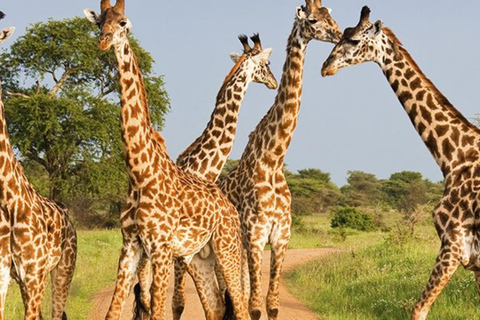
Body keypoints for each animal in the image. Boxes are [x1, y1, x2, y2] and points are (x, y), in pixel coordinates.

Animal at [84, 1, 248, 318]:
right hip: (200, 256)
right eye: (99, 22)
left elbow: (158, 310)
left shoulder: (160, 247)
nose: (104, 41)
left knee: (240, 305)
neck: (139, 171)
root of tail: (229, 208)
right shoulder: (130, 246)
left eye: (123, 23)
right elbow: (114, 311)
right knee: (216, 306)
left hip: (227, 246)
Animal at [134, 33, 278, 318]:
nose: (274, 82)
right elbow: (180, 302)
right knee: (143, 293)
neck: (202, 167)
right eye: (266, 65)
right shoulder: (184, 253)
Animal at [214, 1, 342, 318]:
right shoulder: (256, 235)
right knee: (226, 296)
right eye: (312, 20)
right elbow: (255, 308)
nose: (339, 35)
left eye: (330, 14)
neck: (272, 160)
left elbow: (271, 305)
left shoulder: (282, 236)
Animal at [322, 5, 480, 320]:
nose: (326, 66)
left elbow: (418, 309)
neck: (454, 157)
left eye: (354, 40)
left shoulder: (454, 244)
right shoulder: (475, 261)